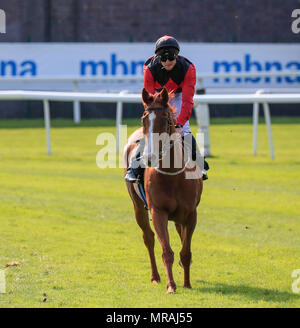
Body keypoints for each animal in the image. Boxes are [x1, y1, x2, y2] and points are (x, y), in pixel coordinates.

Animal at [124, 86, 204, 292]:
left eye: (166, 119)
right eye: (144, 119)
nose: (150, 157)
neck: (172, 176)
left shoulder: (191, 214)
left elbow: (185, 251)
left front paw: (187, 284)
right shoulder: (158, 211)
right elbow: (166, 250)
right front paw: (171, 286)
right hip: (137, 206)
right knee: (148, 238)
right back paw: (155, 276)